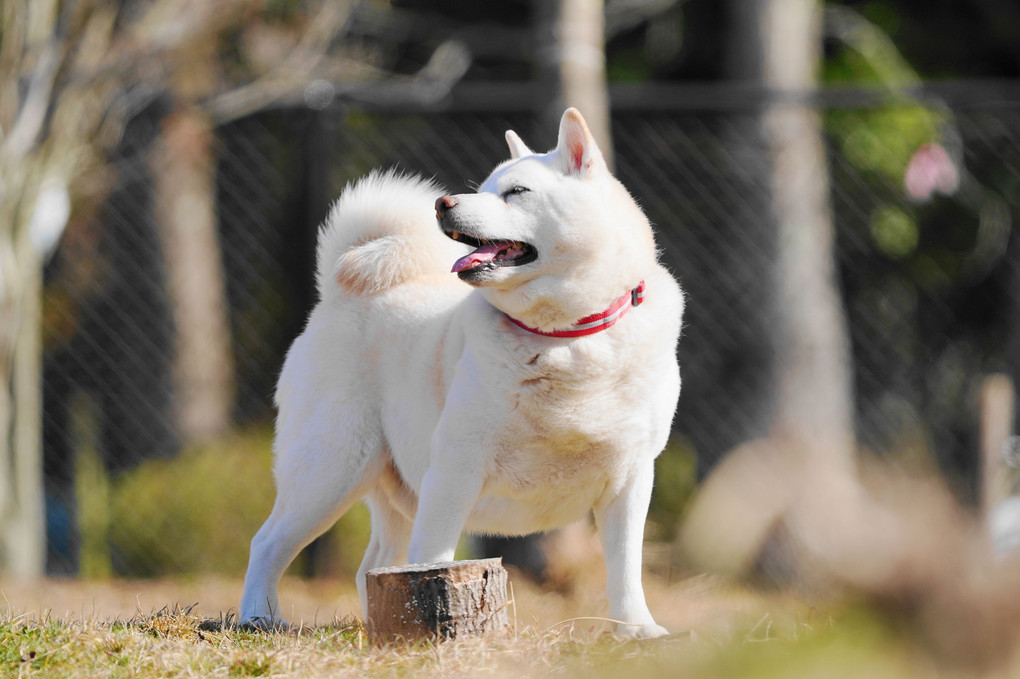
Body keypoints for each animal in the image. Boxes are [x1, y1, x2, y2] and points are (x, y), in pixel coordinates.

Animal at [238, 108, 681, 636]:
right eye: (484, 186)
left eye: (516, 191)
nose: (443, 203)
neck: (564, 340)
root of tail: (342, 292)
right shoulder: (454, 469)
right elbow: (433, 558)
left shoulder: (631, 479)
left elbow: (627, 569)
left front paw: (638, 631)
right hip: (328, 473)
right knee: (266, 545)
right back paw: (257, 618)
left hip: (386, 490)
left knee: (371, 566)